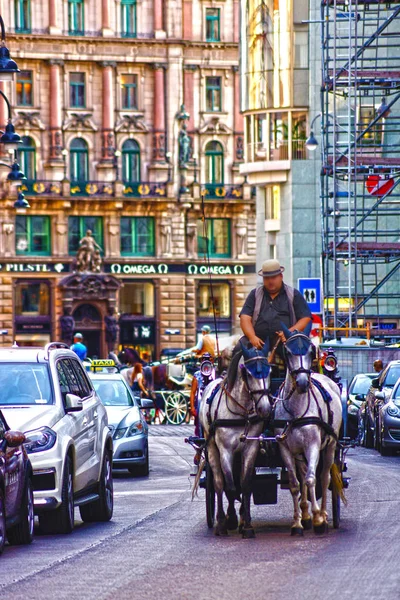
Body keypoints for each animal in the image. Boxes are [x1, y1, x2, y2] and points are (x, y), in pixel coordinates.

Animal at [200, 338, 272, 540]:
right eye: (249, 373)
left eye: (269, 371)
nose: (265, 408)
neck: (241, 411)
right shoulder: (225, 450)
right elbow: (230, 487)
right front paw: (229, 519)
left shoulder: (250, 448)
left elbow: (245, 484)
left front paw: (246, 524)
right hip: (212, 448)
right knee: (218, 482)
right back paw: (220, 521)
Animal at [274, 324, 342, 536]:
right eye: (287, 352)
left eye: (311, 351)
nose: (303, 383)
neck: (296, 410)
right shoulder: (285, 449)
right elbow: (296, 484)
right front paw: (297, 523)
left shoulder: (313, 445)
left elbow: (313, 480)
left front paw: (319, 519)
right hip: (299, 453)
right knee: (303, 475)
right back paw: (306, 514)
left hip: (329, 446)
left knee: (325, 477)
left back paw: (324, 514)